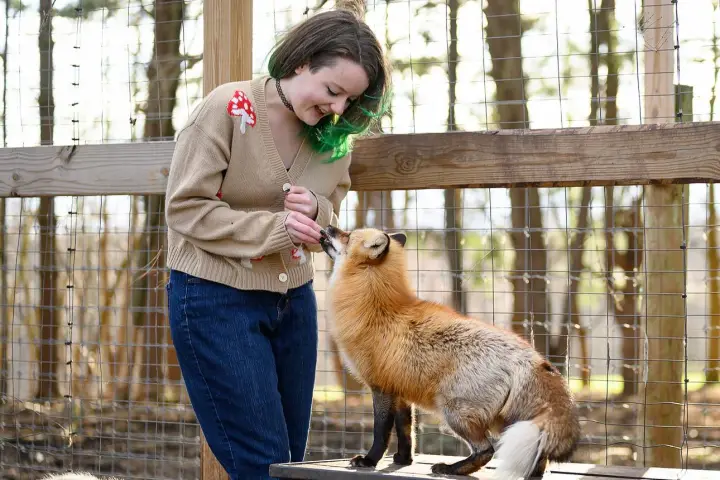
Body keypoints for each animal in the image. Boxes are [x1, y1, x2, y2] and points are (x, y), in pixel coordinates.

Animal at [319, 225, 581, 479]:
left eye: (347, 235)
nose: (328, 226)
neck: (376, 308)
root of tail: (532, 358)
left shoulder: (381, 387)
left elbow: (381, 431)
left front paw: (369, 460)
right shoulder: (400, 391)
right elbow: (406, 432)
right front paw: (404, 460)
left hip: (454, 413)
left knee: (487, 450)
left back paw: (450, 469)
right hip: (510, 421)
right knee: (538, 450)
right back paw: (530, 473)